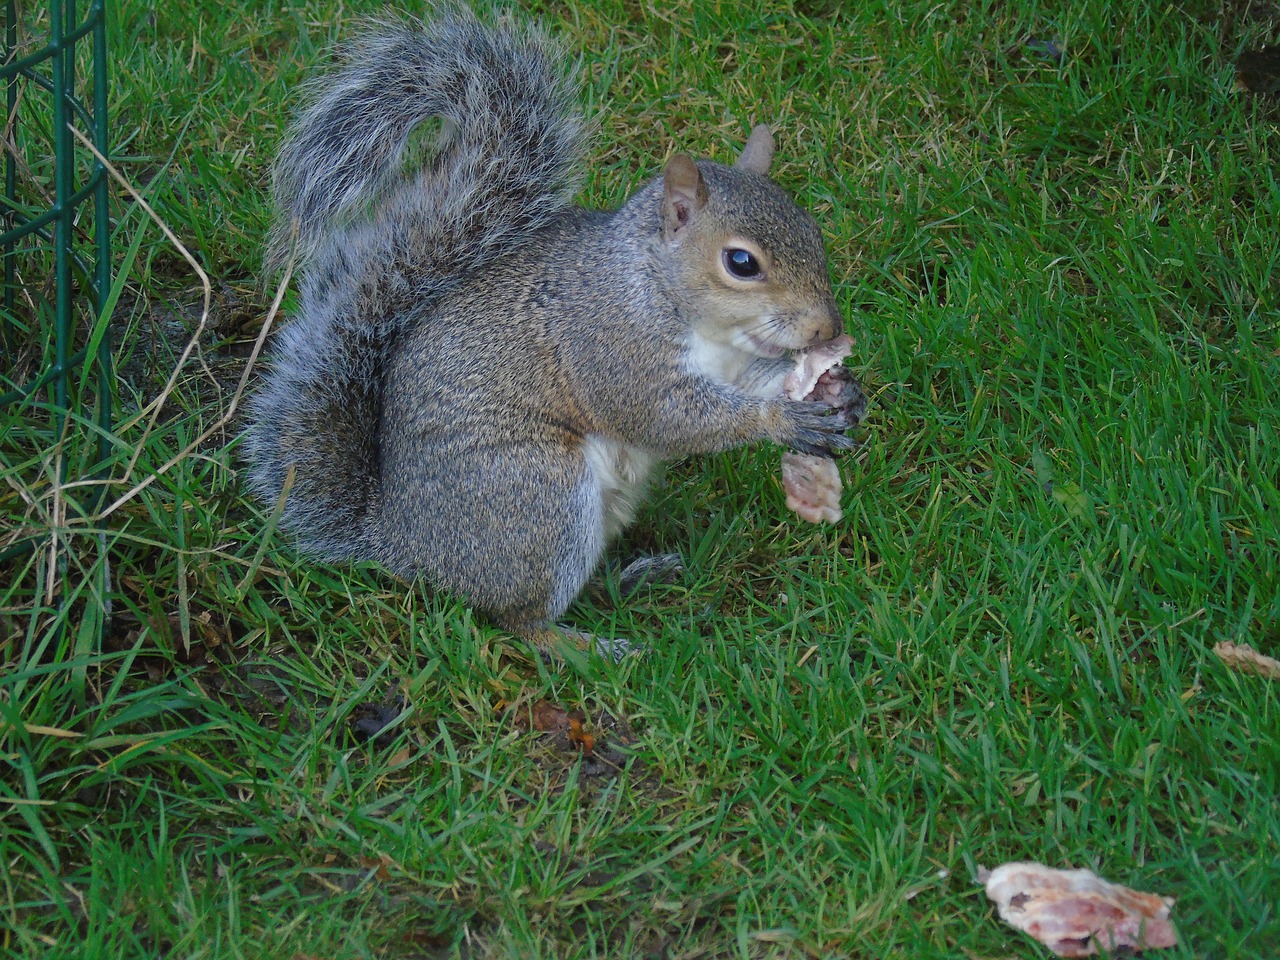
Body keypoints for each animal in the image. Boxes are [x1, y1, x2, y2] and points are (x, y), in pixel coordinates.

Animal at [241, 5, 860, 660]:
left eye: (812, 230)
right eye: (741, 262)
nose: (828, 326)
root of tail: (404, 547)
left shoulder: (734, 360)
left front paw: (840, 394)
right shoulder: (609, 343)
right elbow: (666, 416)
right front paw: (781, 419)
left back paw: (633, 579)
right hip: (538, 496)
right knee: (519, 620)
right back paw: (595, 648)